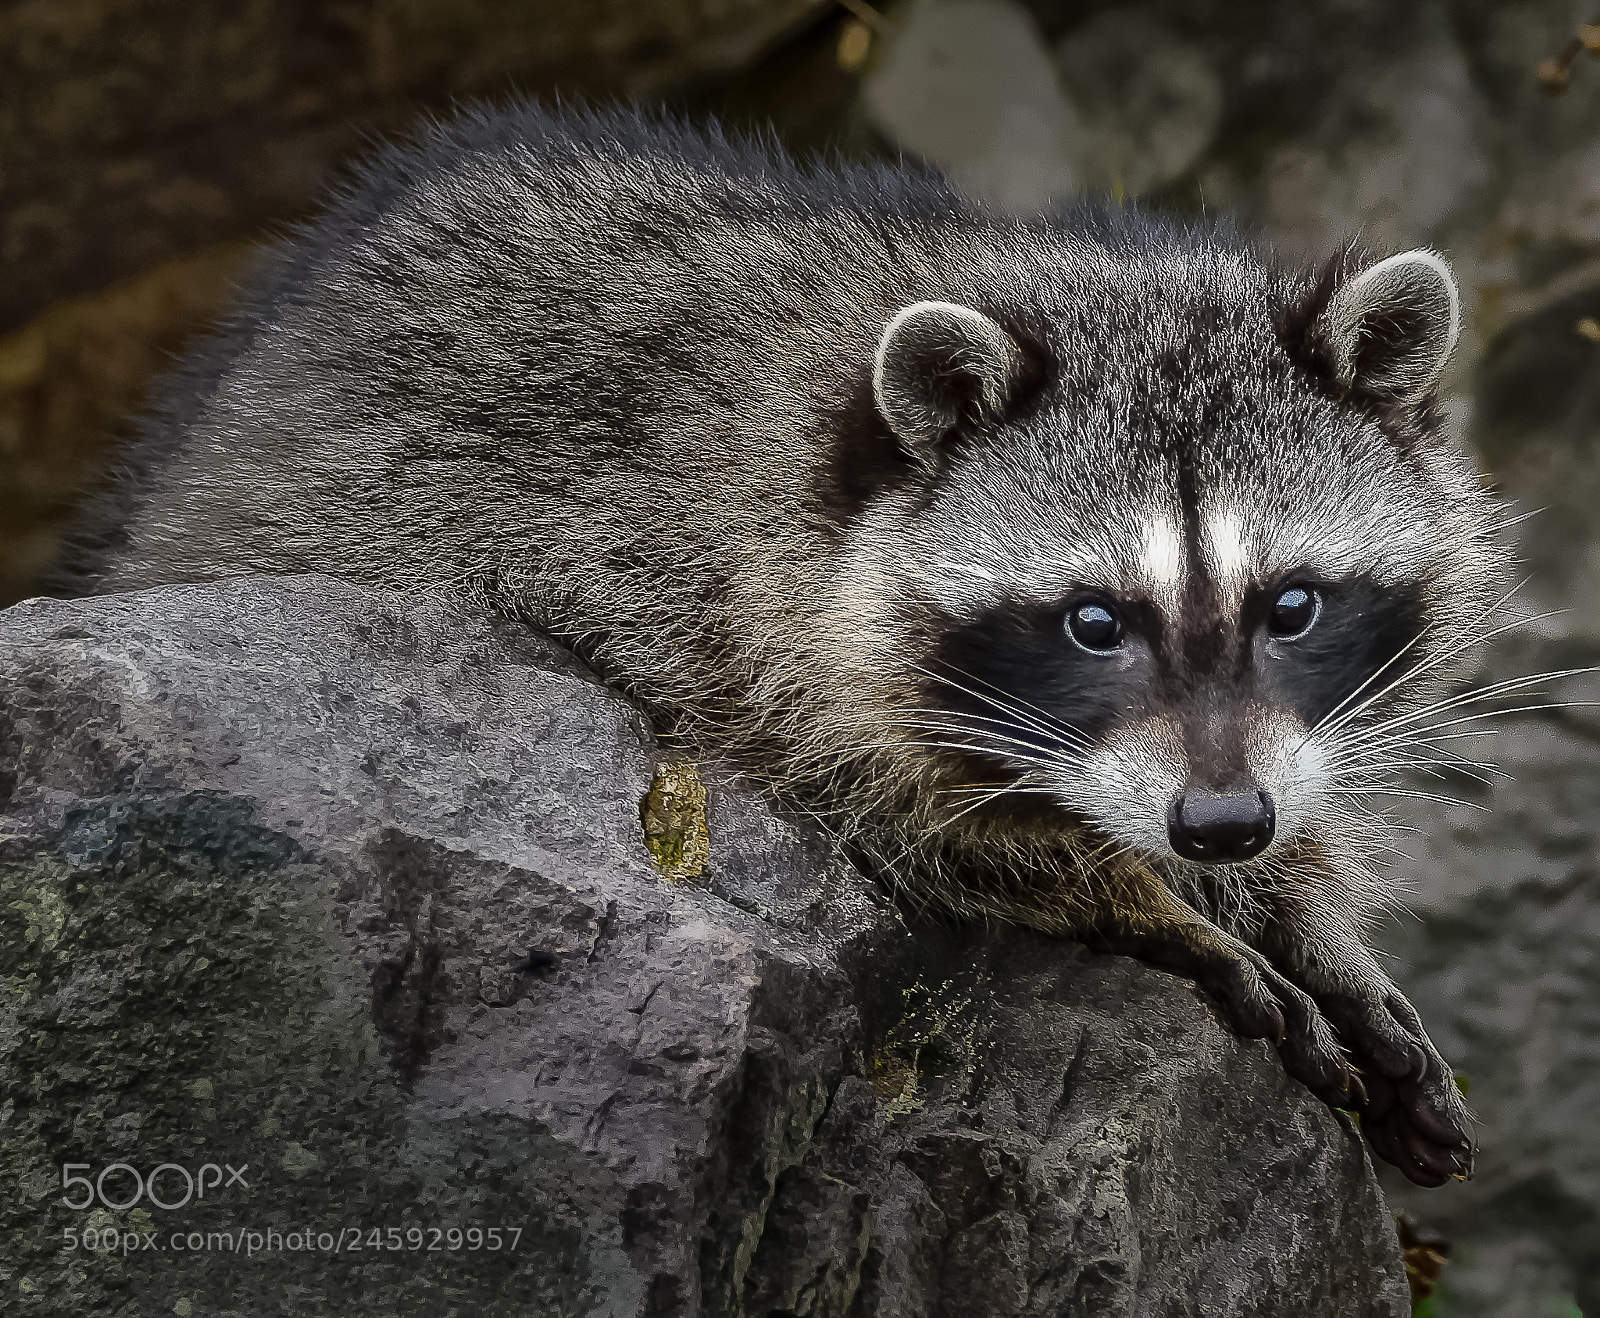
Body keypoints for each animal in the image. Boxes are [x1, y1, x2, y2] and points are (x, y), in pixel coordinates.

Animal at [69, 103, 1509, 1187]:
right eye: (1095, 622)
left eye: (1291, 606)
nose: (1218, 828)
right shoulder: (703, 614)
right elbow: (935, 827)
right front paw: (1149, 901)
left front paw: (1307, 910)